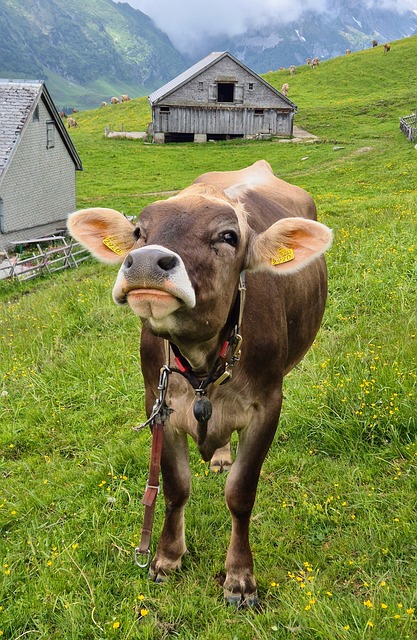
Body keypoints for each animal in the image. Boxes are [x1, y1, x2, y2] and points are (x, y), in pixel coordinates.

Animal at [67, 160, 332, 607]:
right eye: (139, 231)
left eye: (228, 237)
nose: (145, 261)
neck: (201, 361)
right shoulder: (157, 405)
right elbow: (175, 487)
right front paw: (166, 557)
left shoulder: (268, 405)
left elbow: (240, 493)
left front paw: (240, 577)